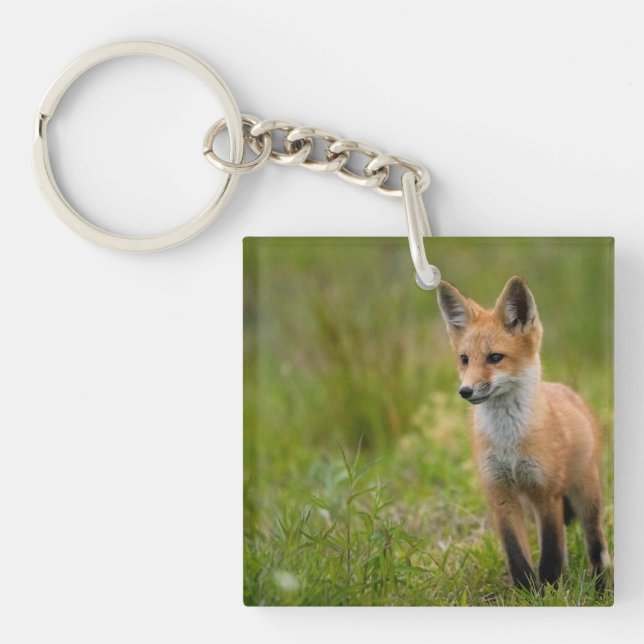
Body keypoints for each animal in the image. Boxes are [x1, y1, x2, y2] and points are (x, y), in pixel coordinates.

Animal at [436, 276, 610, 590]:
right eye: (464, 359)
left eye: (495, 357)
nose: (465, 391)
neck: (508, 443)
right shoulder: (501, 495)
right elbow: (517, 555)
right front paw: (526, 591)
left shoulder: (546, 492)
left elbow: (550, 554)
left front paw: (550, 591)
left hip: (586, 497)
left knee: (597, 549)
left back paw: (600, 587)